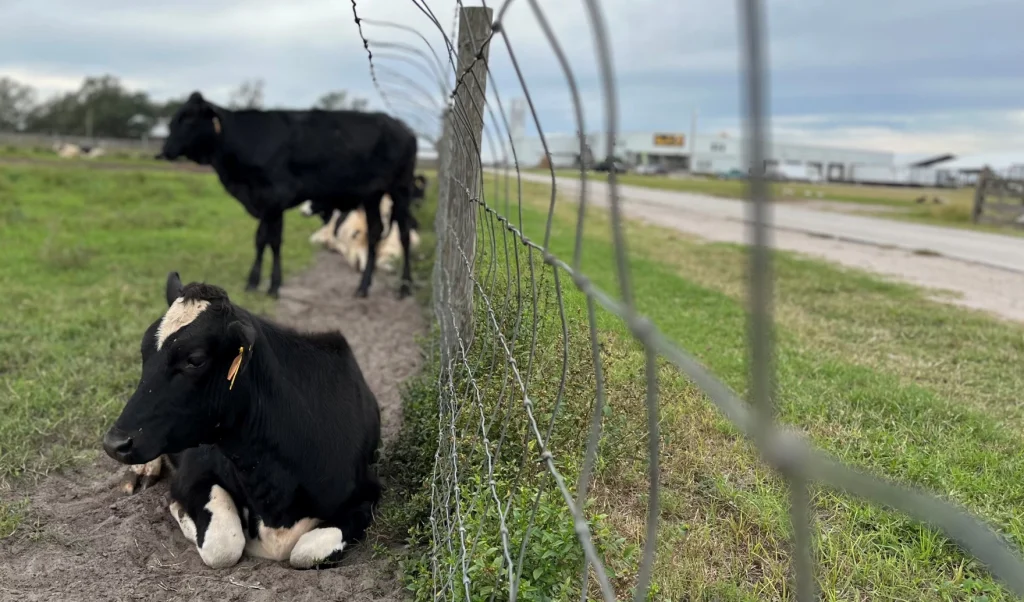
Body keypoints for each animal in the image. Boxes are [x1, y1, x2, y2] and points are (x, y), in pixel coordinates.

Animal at [103, 272, 385, 569]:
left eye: (195, 359)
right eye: (144, 352)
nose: (114, 443)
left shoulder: (368, 491)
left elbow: (306, 550)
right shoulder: (191, 473)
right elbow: (223, 545)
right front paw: (180, 511)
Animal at [154, 91, 415, 298]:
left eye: (189, 119)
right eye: (174, 119)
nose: (165, 151)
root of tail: (402, 127)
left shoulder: (275, 197)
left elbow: (274, 241)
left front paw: (272, 286)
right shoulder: (264, 202)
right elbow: (262, 240)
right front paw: (253, 283)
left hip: (401, 190)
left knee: (403, 235)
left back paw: (404, 287)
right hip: (372, 195)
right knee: (375, 232)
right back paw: (363, 287)